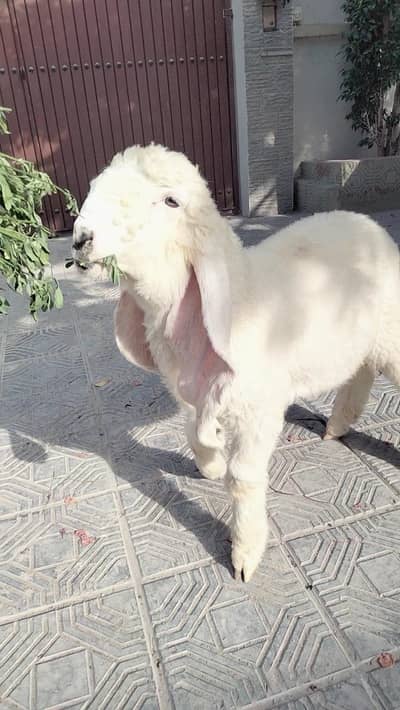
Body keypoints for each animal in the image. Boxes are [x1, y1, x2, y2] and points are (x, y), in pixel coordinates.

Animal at [72, 144, 400, 582]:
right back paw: (337, 425)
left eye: (171, 201)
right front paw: (209, 464)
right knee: (360, 369)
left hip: (390, 329)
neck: (240, 294)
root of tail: (365, 221)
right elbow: (194, 432)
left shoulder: (258, 409)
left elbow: (243, 478)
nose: (81, 238)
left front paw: (245, 551)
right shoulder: (188, 388)